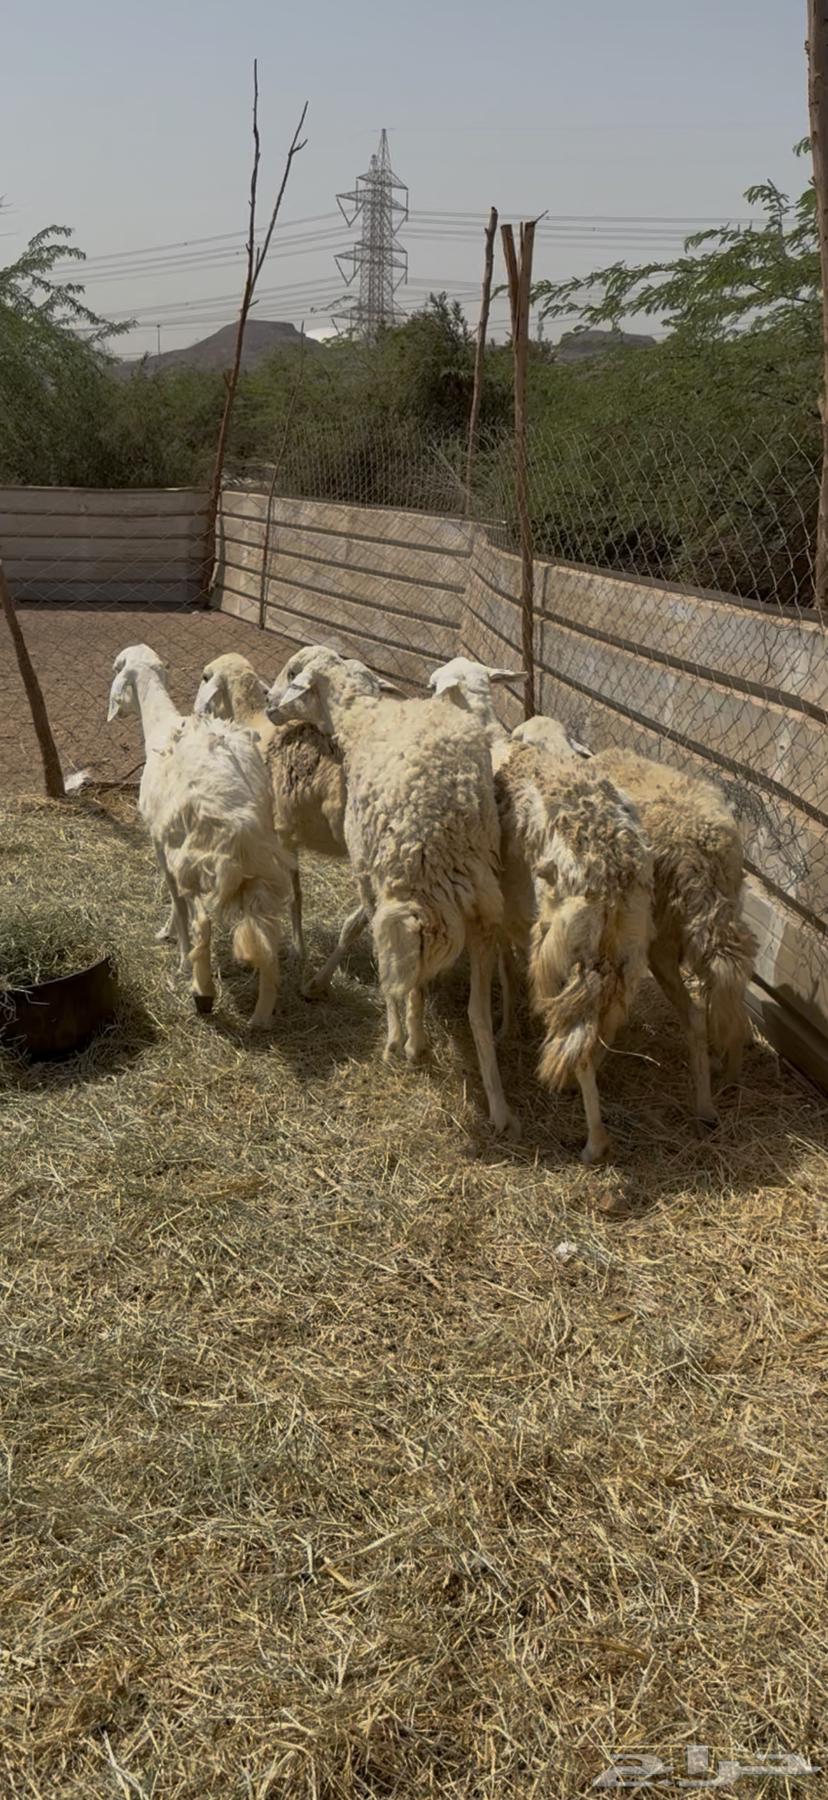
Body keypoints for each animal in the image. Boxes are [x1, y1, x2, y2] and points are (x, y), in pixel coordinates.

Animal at [107, 643, 292, 1027]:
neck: (161, 728)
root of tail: (241, 827)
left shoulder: (160, 844)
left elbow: (175, 902)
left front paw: (174, 948)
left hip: (197, 860)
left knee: (201, 921)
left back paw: (201, 989)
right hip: (261, 870)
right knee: (266, 934)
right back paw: (261, 1016)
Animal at [193, 650, 366, 993]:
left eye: (206, 677)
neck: (251, 720)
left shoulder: (279, 833)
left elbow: (293, 895)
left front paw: (296, 949)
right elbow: (295, 893)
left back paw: (317, 982)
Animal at [267, 645, 517, 1138]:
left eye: (292, 673)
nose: (268, 704)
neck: (363, 716)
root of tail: (438, 839)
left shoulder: (365, 873)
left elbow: (365, 942)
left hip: (400, 889)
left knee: (398, 969)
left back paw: (400, 1041)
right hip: (481, 903)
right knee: (474, 1011)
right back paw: (498, 1107)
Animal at [512, 716, 757, 1124]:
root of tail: (701, 851)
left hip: (658, 940)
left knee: (681, 1014)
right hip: (717, 922)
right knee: (725, 996)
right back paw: (726, 1081)